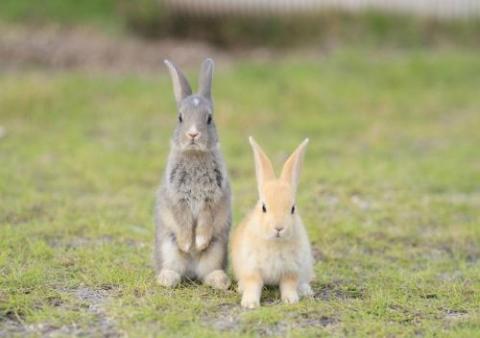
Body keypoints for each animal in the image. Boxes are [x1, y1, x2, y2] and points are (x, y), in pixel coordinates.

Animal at [155, 58, 232, 290]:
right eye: (180, 118)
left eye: (209, 118)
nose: (193, 134)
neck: (195, 155)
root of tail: (191, 271)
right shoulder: (177, 197)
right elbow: (182, 220)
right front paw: (187, 243)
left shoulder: (212, 198)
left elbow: (206, 221)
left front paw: (198, 242)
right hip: (167, 248)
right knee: (173, 270)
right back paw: (167, 278)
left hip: (217, 249)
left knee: (207, 273)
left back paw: (220, 280)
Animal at [231, 137, 314, 308]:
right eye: (264, 207)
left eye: (293, 208)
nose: (279, 228)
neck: (275, 242)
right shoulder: (252, 269)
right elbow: (253, 285)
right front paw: (250, 303)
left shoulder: (291, 270)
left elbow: (289, 285)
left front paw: (291, 300)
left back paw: (306, 291)